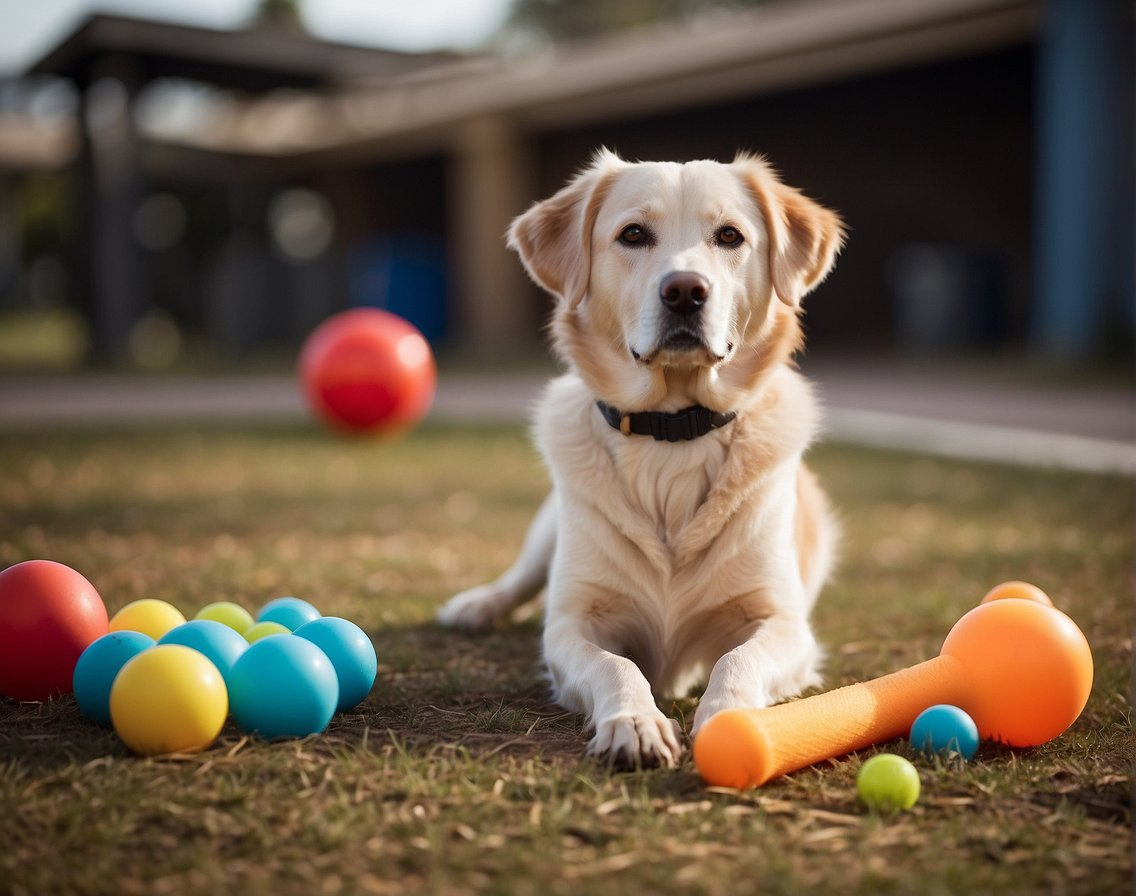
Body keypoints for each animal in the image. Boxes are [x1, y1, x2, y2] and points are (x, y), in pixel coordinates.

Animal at [433, 149, 845, 767]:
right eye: (633, 235)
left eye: (729, 235)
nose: (685, 291)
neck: (671, 432)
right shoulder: (572, 623)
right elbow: (615, 664)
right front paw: (634, 722)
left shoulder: (783, 622)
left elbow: (737, 659)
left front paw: (730, 717)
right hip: (552, 525)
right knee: (523, 578)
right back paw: (476, 606)